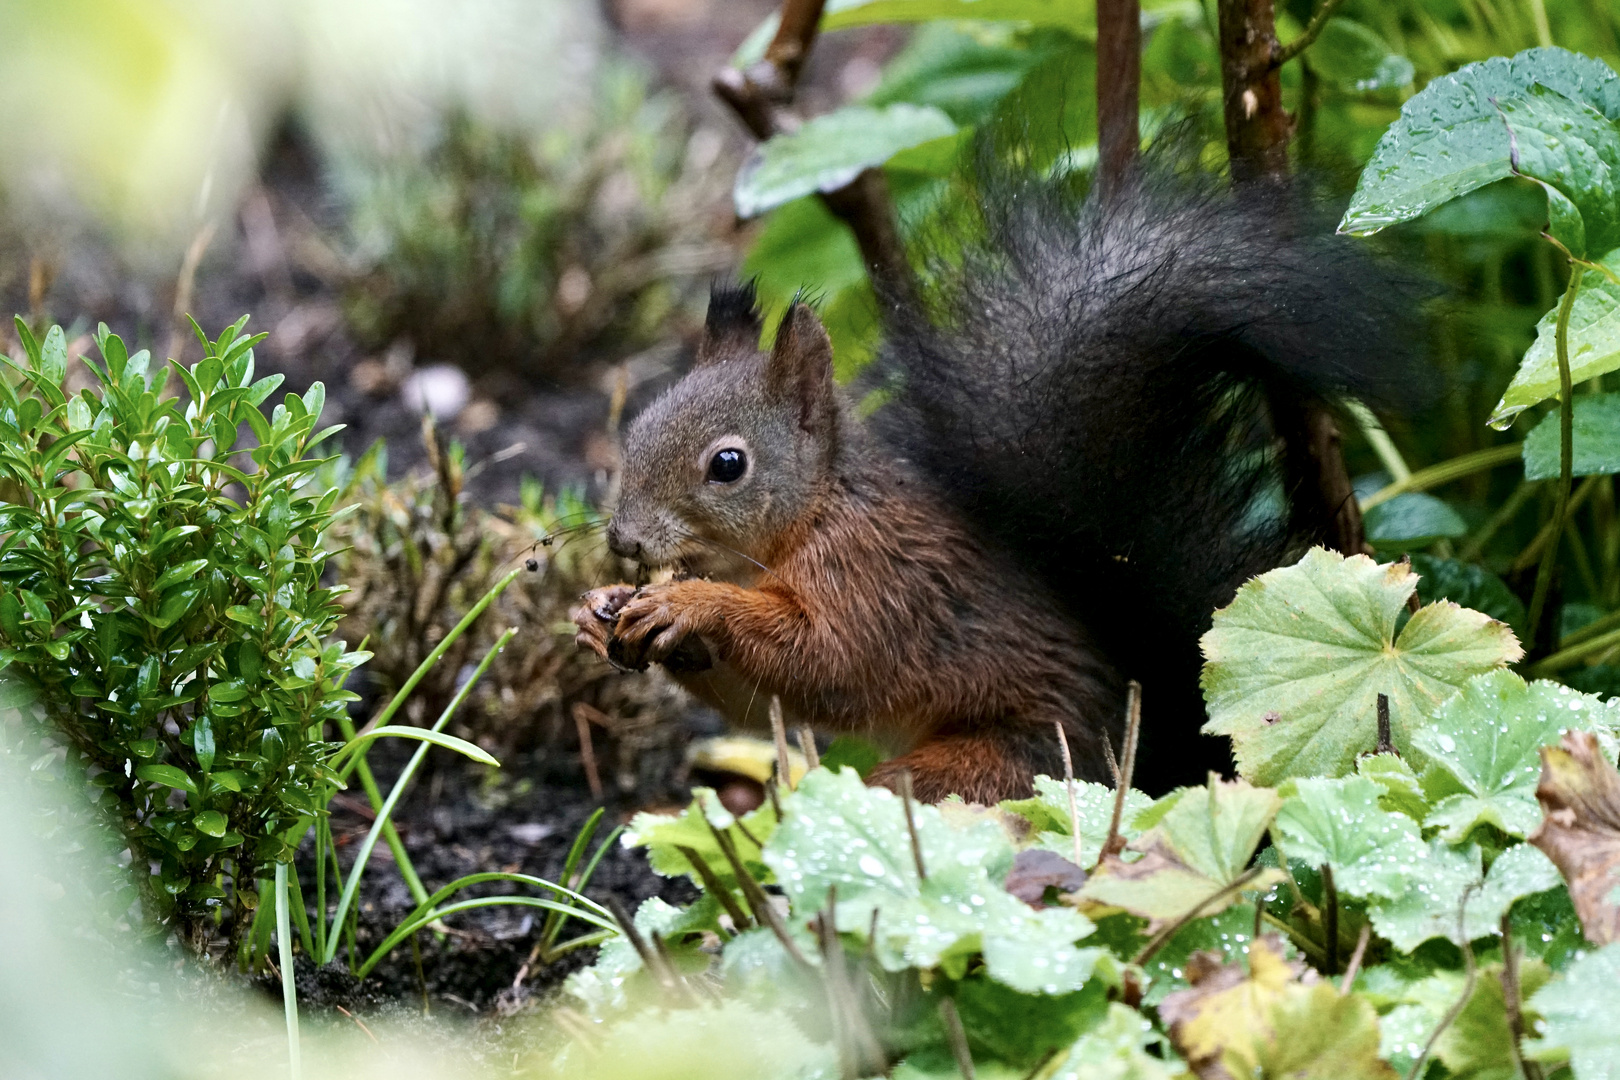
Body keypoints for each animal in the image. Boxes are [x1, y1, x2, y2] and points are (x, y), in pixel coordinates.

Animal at [570, 145, 1419, 803]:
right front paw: (599, 607)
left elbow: (825, 663)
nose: (625, 541)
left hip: (1007, 769)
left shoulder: (884, 584)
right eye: (637, 427)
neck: (815, 515)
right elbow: (758, 698)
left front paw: (690, 604)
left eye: (728, 465)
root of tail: (1156, 769)